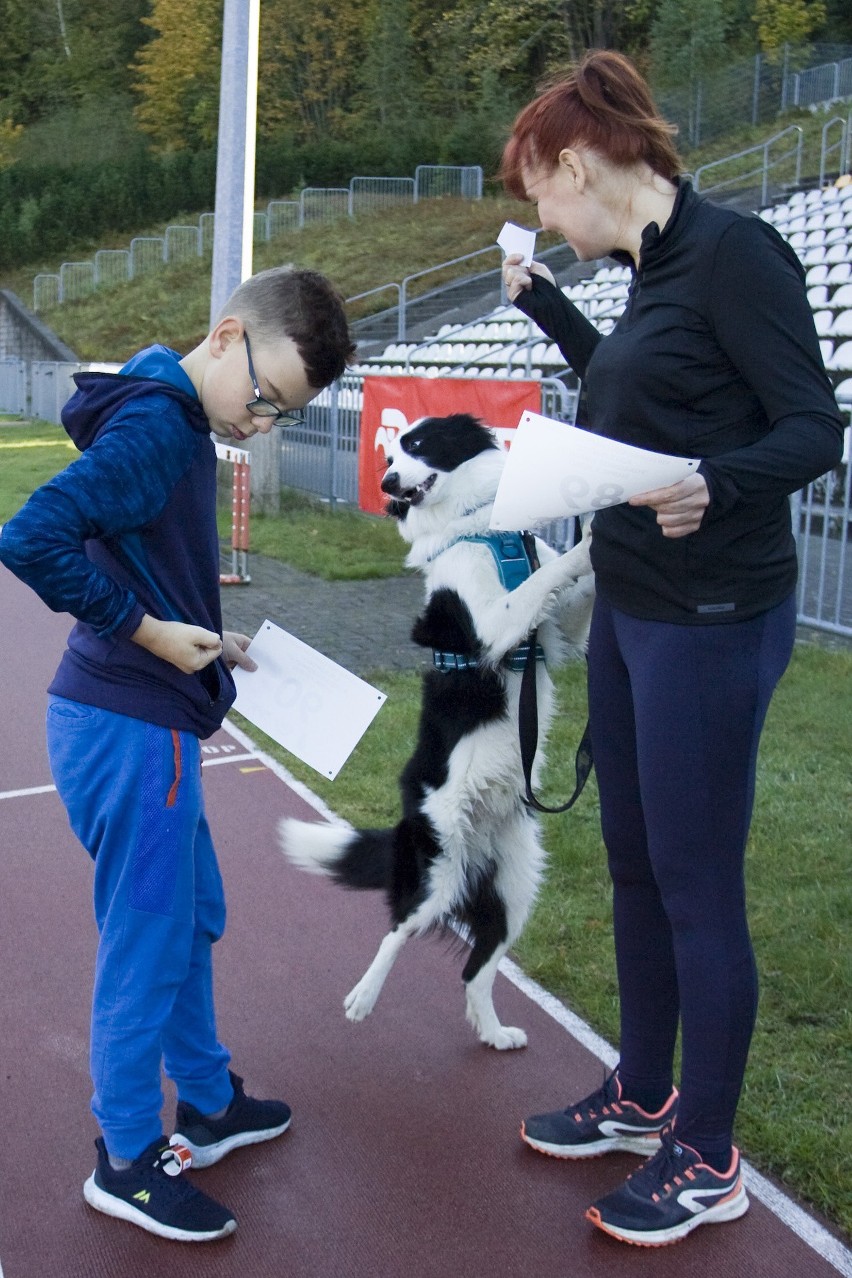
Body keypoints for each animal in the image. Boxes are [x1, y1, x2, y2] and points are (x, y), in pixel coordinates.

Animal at [279, 411, 592, 1047]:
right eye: (387, 456)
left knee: (476, 970)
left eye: (418, 445)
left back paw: (494, 1033)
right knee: (398, 929)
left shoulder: (563, 628)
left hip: (516, 887)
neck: (479, 529)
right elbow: (540, 582)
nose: (387, 484)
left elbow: (566, 585)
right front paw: (595, 535)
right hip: (439, 872)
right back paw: (362, 997)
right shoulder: (492, 623)